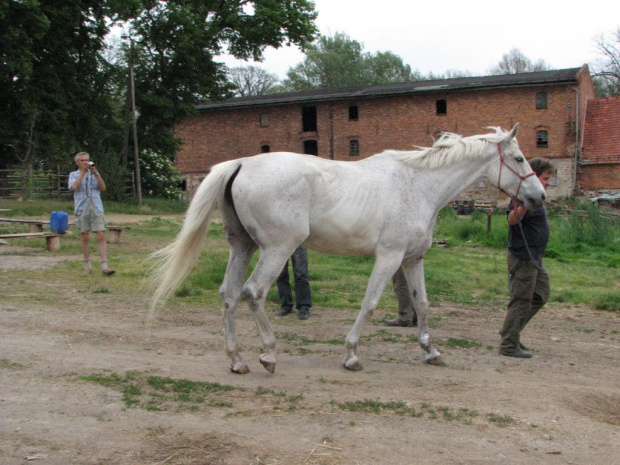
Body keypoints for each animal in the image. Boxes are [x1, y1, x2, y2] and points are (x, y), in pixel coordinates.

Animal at [153, 123, 544, 374]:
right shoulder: (389, 257)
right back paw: (269, 355)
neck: (418, 186)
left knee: (229, 295)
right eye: (520, 159)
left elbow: (422, 304)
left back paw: (237, 360)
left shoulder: (413, 259)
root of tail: (241, 163)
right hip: (277, 249)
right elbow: (369, 304)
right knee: (253, 293)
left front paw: (431, 350)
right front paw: (352, 354)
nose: (539, 196)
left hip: (243, 246)